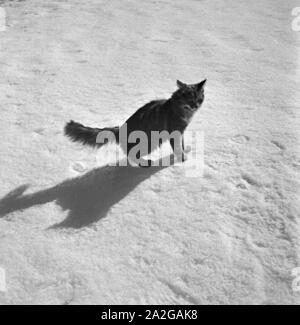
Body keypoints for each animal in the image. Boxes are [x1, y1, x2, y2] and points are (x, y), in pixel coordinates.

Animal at [64, 78, 206, 165]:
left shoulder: (181, 132)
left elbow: (181, 145)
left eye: (199, 99)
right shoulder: (174, 132)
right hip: (149, 143)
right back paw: (146, 163)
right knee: (131, 155)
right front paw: (183, 160)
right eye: (189, 100)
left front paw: (185, 151)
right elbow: (177, 148)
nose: (195, 106)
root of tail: (120, 129)